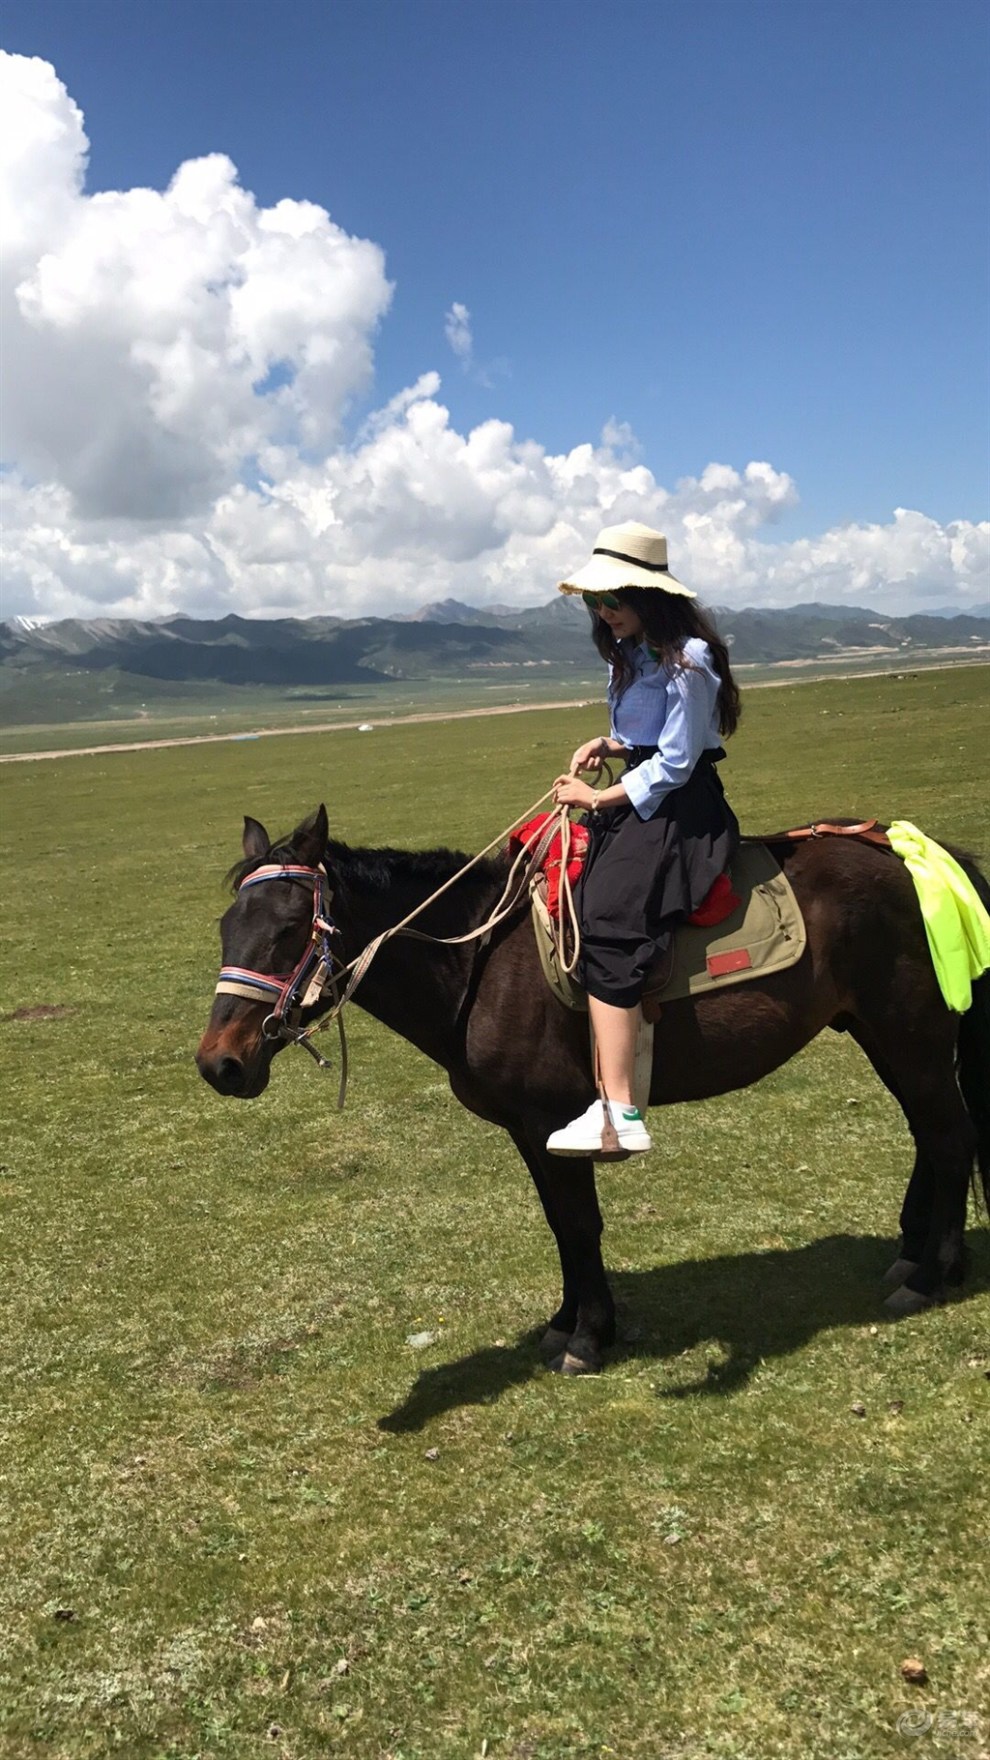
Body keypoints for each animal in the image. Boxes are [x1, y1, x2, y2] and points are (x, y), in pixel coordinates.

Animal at [196, 804, 990, 1374]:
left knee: (950, 1135)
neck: (480, 964)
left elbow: (579, 1224)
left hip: (911, 1033)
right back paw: (914, 1253)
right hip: (878, 1033)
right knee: (929, 1135)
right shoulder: (528, 1128)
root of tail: (918, 852)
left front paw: (588, 1338)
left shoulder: (551, 1114)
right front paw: (564, 1323)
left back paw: (933, 1275)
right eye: (227, 925)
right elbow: (559, 1223)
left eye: (289, 927)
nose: (219, 1064)